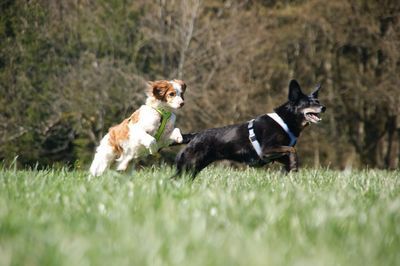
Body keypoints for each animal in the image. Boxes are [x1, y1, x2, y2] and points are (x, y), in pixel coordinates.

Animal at [172, 79, 324, 179]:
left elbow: (289, 154)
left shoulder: (273, 154)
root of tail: (194, 136)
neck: (285, 120)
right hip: (189, 165)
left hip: (194, 168)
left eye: (317, 101)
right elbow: (292, 149)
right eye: (308, 103)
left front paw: (289, 170)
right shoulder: (267, 149)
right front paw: (293, 166)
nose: (324, 107)